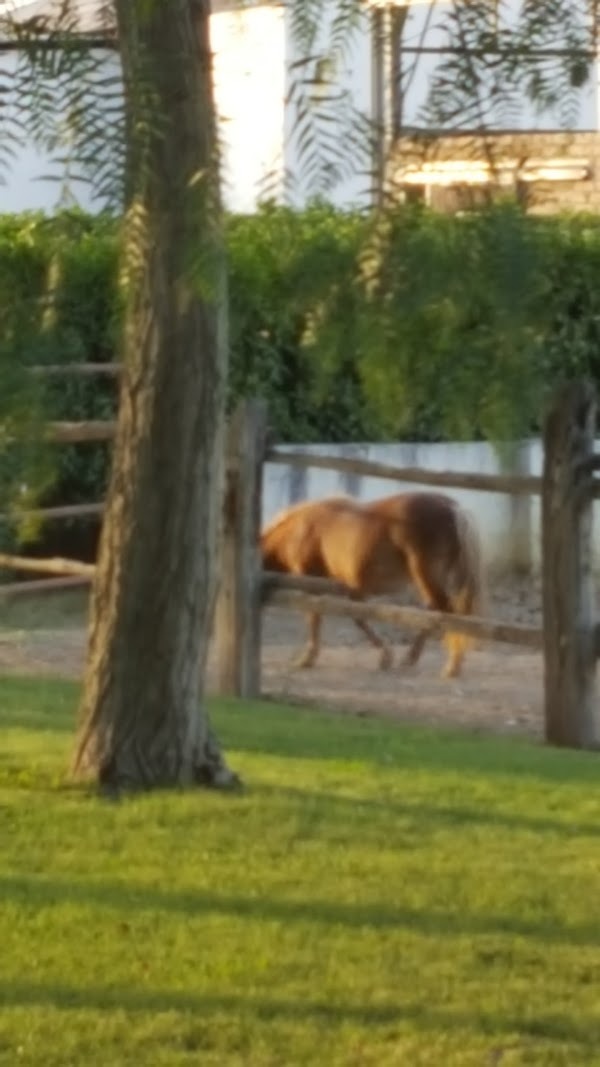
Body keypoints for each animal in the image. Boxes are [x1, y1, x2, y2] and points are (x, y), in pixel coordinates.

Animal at [259, 488, 482, 674]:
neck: (299, 530)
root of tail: (451, 508)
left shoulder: (313, 583)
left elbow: (315, 617)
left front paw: (307, 658)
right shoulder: (351, 589)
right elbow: (359, 618)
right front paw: (385, 656)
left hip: (427, 577)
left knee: (447, 614)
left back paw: (452, 665)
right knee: (436, 614)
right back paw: (412, 658)